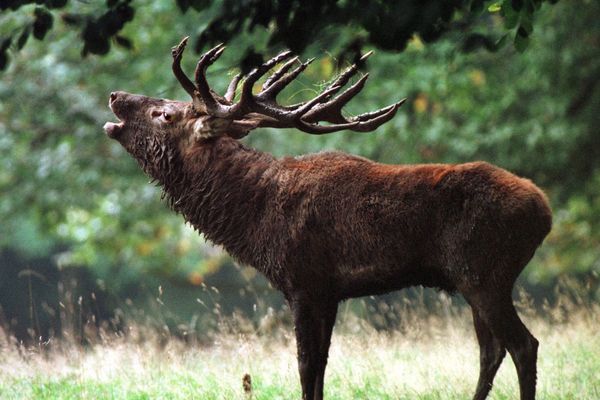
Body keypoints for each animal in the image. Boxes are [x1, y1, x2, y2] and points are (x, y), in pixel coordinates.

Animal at [104, 38, 552, 400]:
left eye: (164, 114)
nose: (115, 95)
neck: (255, 219)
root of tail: (544, 211)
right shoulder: (330, 292)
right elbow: (321, 365)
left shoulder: (303, 281)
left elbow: (305, 366)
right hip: (473, 279)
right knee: (491, 351)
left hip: (484, 273)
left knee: (523, 345)